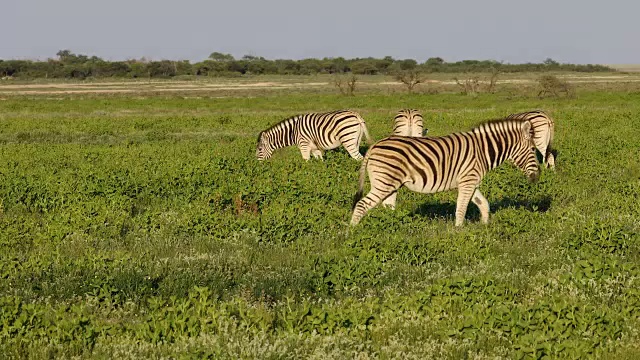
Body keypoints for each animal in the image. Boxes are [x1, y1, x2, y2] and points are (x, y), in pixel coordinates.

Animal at [350, 118, 540, 226]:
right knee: (362, 205)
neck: (482, 150)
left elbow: (483, 204)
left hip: (390, 184)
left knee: (388, 206)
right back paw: (351, 232)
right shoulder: (468, 181)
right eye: (533, 149)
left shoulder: (471, 182)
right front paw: (459, 233)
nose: (536, 177)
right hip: (384, 183)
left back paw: (393, 226)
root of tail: (375, 145)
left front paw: (485, 227)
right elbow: (461, 208)